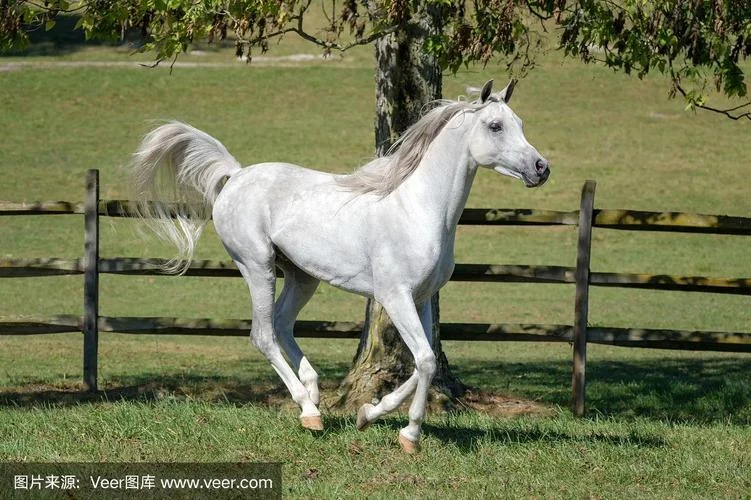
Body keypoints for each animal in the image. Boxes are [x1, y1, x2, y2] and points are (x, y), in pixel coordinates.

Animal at [130, 79, 549, 453]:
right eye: (495, 126)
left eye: (521, 123)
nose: (541, 168)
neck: (417, 210)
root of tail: (236, 175)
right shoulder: (395, 297)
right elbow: (427, 361)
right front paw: (409, 435)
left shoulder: (423, 297)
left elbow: (421, 364)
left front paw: (369, 414)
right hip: (257, 266)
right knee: (263, 334)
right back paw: (308, 412)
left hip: (301, 277)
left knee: (281, 324)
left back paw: (313, 393)